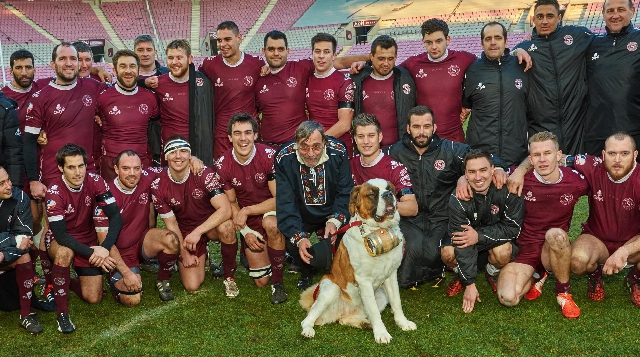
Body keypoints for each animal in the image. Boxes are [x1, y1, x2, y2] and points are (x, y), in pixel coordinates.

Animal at [298, 178, 418, 342]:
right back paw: (308, 330)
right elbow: (374, 311)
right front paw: (381, 333)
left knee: (345, 319)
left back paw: (364, 323)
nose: (388, 195)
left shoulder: (391, 276)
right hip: (331, 289)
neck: (378, 230)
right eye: (372, 193)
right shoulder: (364, 281)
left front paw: (403, 323)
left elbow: (396, 302)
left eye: (390, 189)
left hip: (380, 295)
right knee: (307, 319)